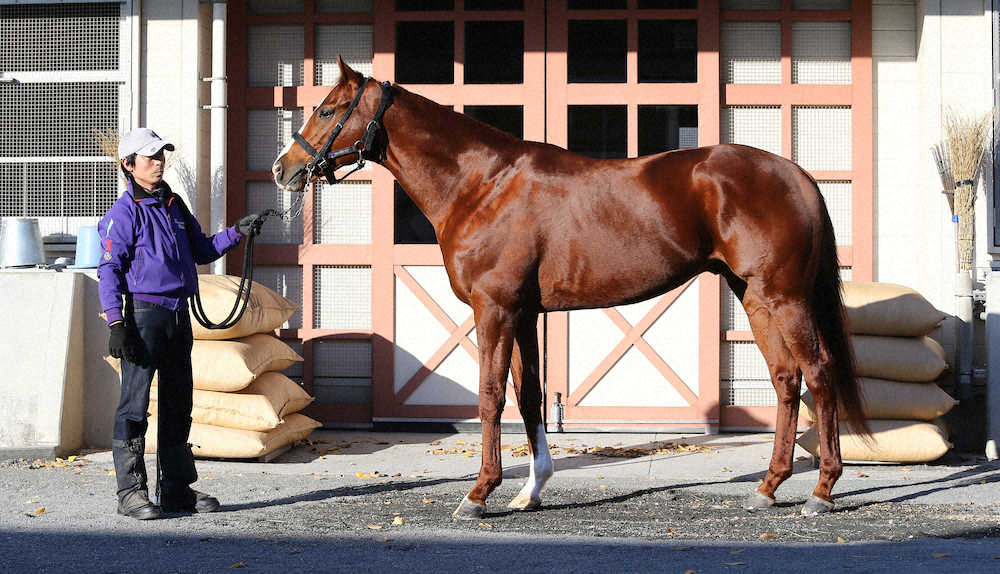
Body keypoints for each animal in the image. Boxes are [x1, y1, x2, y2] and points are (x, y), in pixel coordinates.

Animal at [272, 57, 870, 519]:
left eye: (328, 110)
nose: (283, 169)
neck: (483, 185)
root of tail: (796, 174)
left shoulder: (495, 311)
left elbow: (491, 398)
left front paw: (479, 494)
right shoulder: (523, 313)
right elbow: (529, 396)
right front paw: (530, 491)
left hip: (785, 297)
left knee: (818, 374)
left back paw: (822, 491)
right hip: (753, 296)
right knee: (786, 379)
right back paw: (768, 487)